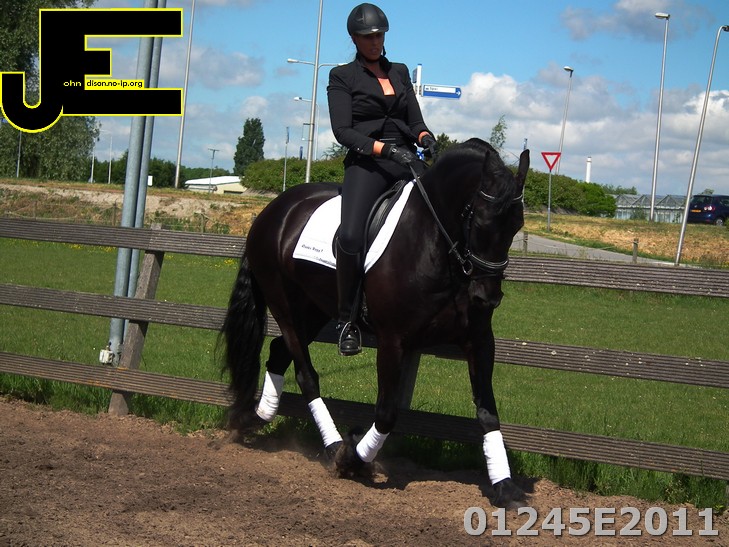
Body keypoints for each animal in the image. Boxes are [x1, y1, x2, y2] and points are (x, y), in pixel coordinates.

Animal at [221, 138, 530, 508]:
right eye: (480, 220)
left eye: (517, 225)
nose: (487, 297)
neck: (432, 241)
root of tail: (272, 210)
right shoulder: (392, 340)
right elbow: (386, 413)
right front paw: (353, 458)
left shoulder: (479, 339)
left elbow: (488, 412)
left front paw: (505, 487)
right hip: (284, 306)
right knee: (305, 374)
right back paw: (333, 446)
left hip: (313, 309)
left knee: (279, 352)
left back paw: (253, 417)